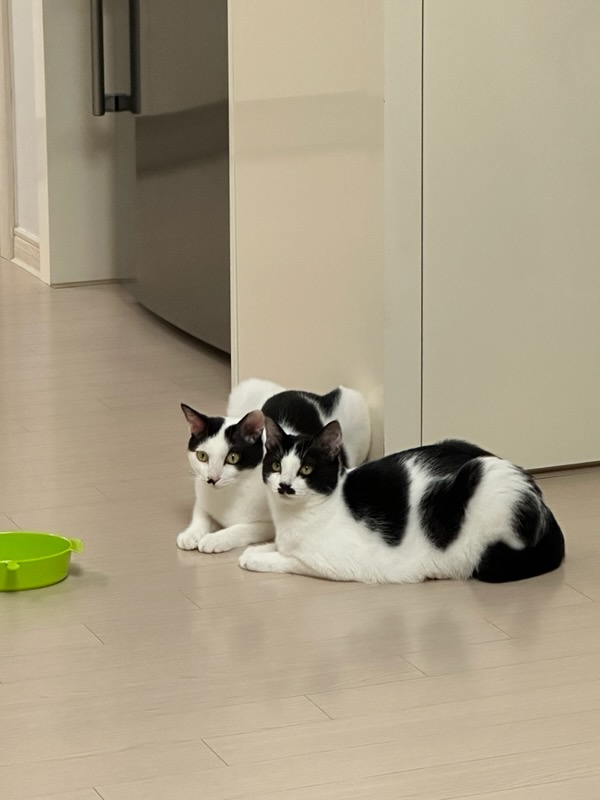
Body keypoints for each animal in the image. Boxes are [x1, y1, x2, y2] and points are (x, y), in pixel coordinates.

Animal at [176, 378, 371, 554]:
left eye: (232, 457)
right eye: (202, 456)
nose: (212, 479)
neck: (231, 491)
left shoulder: (271, 524)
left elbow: (246, 528)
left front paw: (216, 538)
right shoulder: (202, 489)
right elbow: (201, 512)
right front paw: (191, 534)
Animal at [239, 419, 565, 583]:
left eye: (306, 469)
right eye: (276, 466)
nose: (284, 486)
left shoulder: (336, 564)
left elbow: (289, 560)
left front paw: (256, 558)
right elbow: (276, 546)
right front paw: (254, 549)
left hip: (485, 477)